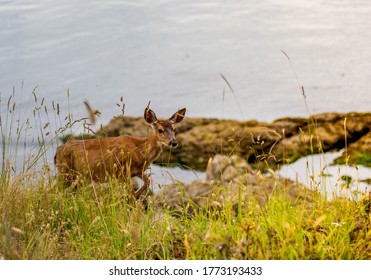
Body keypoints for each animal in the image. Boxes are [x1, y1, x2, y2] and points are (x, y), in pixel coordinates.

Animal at [54, 103, 186, 199]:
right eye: (160, 130)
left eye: (174, 129)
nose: (173, 142)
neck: (140, 149)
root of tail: (57, 151)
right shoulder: (122, 172)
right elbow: (133, 191)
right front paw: (131, 200)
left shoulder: (137, 170)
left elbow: (147, 181)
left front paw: (137, 196)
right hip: (65, 171)